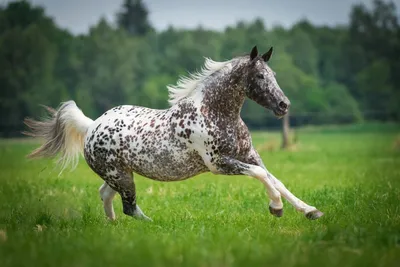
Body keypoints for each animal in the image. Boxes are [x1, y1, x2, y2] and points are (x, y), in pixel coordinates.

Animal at [23, 45, 324, 222]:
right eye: (260, 77)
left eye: (273, 74)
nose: (284, 105)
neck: (217, 114)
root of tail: (91, 126)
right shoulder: (219, 164)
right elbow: (263, 177)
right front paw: (276, 208)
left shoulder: (250, 156)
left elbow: (275, 180)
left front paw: (310, 211)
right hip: (121, 176)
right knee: (128, 206)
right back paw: (151, 228)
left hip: (119, 175)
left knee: (106, 196)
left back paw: (114, 228)